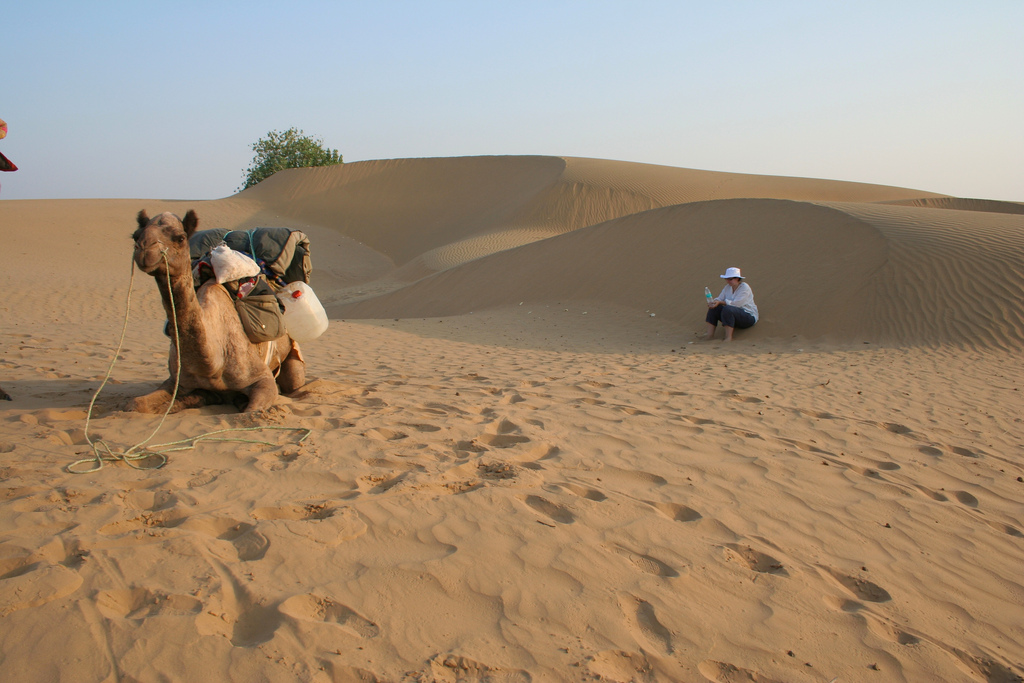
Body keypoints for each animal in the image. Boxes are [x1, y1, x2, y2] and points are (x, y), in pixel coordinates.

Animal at [130, 209, 303, 411]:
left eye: (180, 238)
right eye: (136, 235)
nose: (144, 250)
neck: (212, 362)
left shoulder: (262, 377)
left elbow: (251, 409)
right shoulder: (176, 381)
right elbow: (136, 403)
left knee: (294, 383)